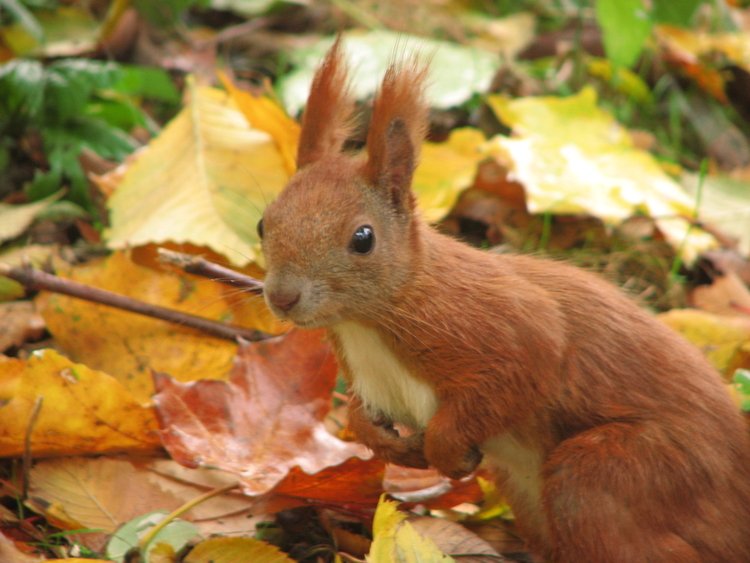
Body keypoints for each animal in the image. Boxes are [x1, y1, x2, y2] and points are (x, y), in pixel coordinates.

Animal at [260, 37, 750, 560]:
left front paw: (445, 451)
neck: (369, 322)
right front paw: (391, 445)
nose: (282, 297)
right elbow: (359, 416)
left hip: (623, 473)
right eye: (264, 223)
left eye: (363, 238)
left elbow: (514, 376)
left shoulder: (504, 326)